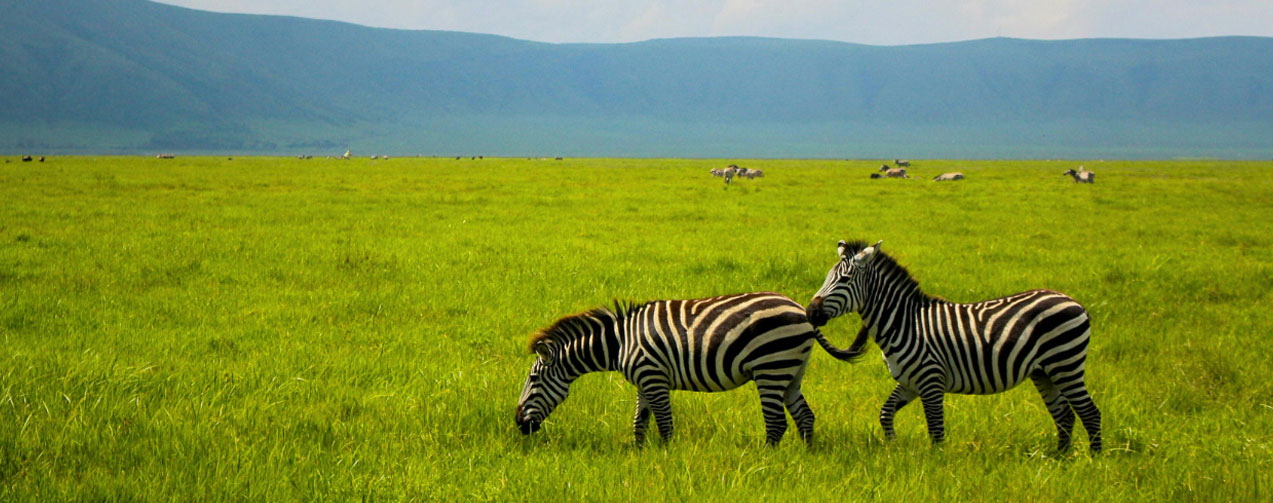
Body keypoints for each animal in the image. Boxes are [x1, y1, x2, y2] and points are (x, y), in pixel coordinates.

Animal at [514, 292, 865, 448]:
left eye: (533, 379)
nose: (518, 423)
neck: (620, 342)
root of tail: (801, 311)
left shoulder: (653, 377)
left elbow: (665, 424)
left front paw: (666, 457)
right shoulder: (643, 380)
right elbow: (639, 421)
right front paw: (637, 454)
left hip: (771, 367)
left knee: (777, 423)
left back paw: (768, 459)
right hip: (792, 370)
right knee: (805, 416)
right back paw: (805, 457)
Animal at [809, 240, 1099, 453]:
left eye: (844, 280)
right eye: (827, 277)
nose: (811, 312)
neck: (905, 322)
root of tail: (1075, 303)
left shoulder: (931, 379)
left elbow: (936, 429)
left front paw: (937, 465)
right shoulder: (909, 381)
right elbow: (885, 413)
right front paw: (893, 448)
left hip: (1065, 364)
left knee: (1089, 412)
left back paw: (1093, 460)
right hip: (1044, 372)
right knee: (1065, 415)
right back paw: (1060, 458)